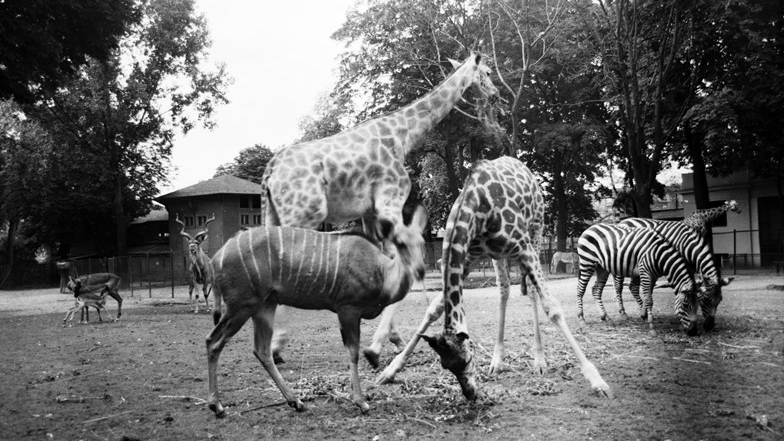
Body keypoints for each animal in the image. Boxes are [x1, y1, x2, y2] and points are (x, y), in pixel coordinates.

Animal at [260, 52, 498, 360]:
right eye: (488, 72)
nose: (495, 93)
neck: (401, 134)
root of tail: (270, 171)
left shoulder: (369, 212)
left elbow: (386, 259)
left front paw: (392, 338)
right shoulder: (390, 201)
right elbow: (401, 262)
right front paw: (376, 346)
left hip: (273, 214)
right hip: (303, 212)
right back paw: (276, 346)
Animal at [377, 157, 612, 400]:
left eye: (466, 360)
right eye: (445, 365)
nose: (470, 393)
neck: (477, 208)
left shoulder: (524, 246)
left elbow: (552, 308)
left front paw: (597, 381)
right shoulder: (469, 256)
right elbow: (435, 308)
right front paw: (391, 370)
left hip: (535, 231)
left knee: (532, 290)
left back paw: (539, 360)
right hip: (498, 255)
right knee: (504, 290)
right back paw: (497, 361)